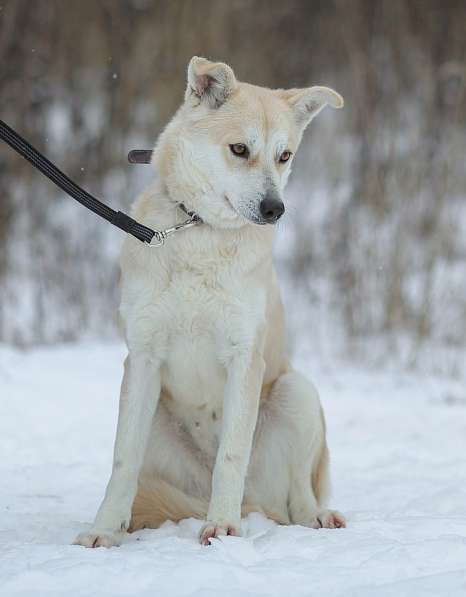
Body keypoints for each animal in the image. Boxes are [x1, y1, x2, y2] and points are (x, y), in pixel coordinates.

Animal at [74, 57, 344, 548]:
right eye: (239, 149)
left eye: (284, 156)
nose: (275, 209)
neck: (200, 231)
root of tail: (257, 504)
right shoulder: (142, 359)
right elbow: (122, 461)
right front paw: (104, 530)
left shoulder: (244, 357)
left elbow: (231, 456)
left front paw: (222, 527)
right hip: (155, 420)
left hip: (297, 392)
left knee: (297, 496)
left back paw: (312, 516)